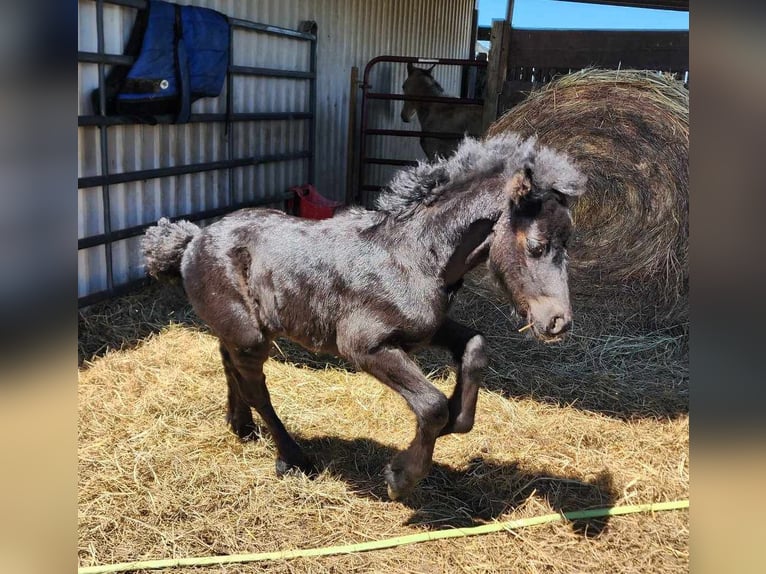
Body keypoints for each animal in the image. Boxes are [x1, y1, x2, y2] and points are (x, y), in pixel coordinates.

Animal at [144, 133, 588, 502]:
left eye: (568, 242)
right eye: (537, 245)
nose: (558, 322)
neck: (414, 257)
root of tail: (192, 239)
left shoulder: (426, 330)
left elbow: (475, 348)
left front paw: (452, 424)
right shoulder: (365, 345)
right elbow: (431, 406)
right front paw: (400, 476)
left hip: (240, 326)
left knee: (227, 360)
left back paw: (241, 426)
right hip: (251, 335)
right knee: (255, 385)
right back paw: (293, 458)